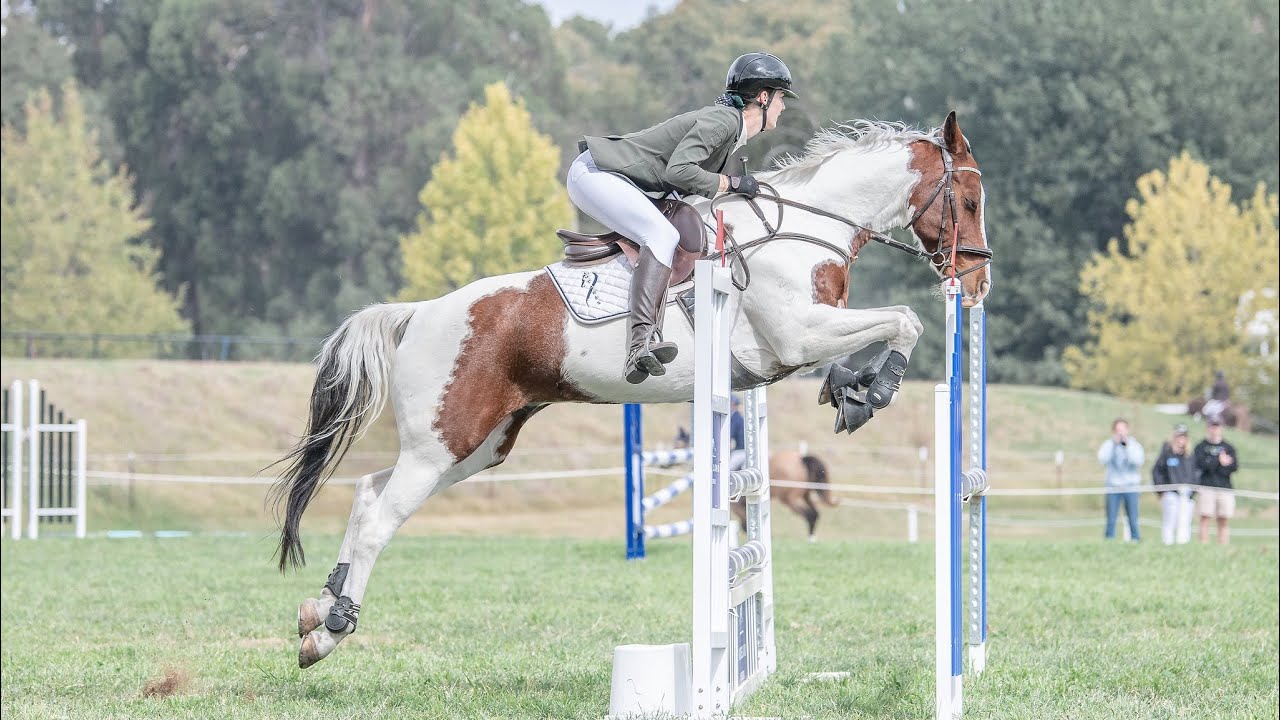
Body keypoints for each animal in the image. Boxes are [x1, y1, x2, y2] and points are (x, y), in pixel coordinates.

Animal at [272, 112, 992, 668]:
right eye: (971, 202)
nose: (977, 282)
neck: (802, 231)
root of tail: (418, 313)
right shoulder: (797, 334)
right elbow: (905, 317)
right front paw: (876, 391)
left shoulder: (792, 349)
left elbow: (881, 332)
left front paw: (852, 390)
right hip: (445, 442)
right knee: (380, 519)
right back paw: (332, 629)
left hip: (477, 446)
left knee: (367, 496)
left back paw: (319, 616)